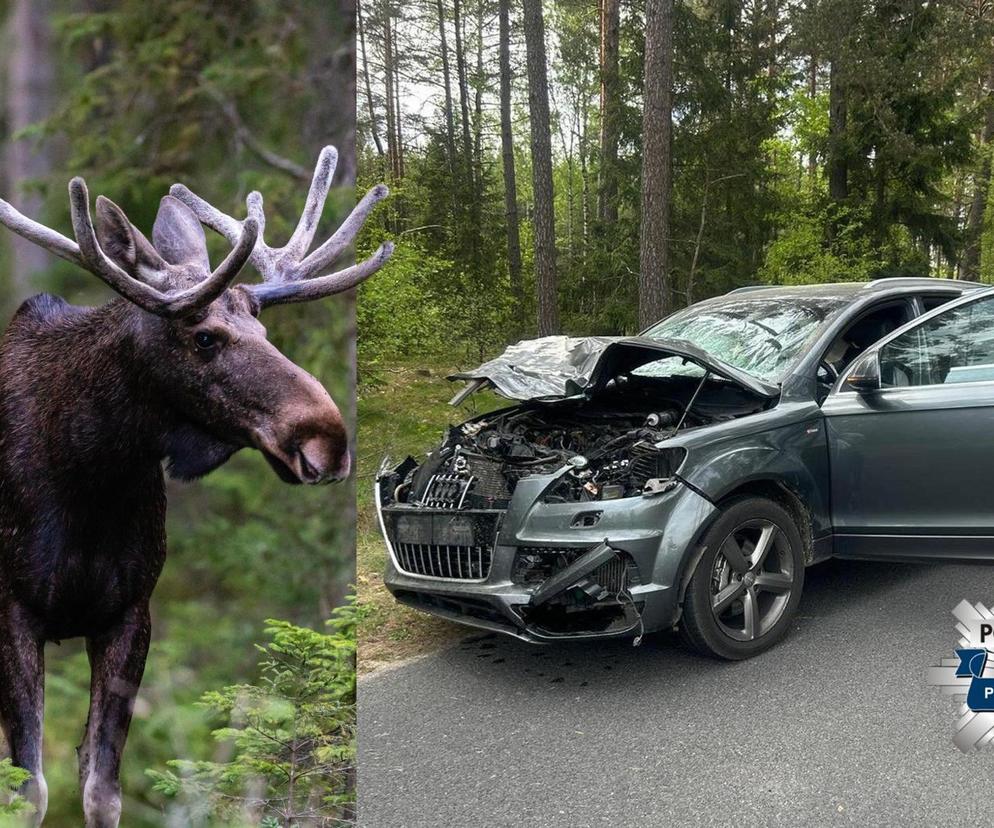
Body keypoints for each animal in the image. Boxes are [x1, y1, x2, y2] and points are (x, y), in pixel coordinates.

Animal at [0, 146, 392, 824]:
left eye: (264, 332)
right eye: (205, 337)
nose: (330, 440)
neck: (87, 475)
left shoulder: (130, 613)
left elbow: (101, 787)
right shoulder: (13, 611)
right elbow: (29, 790)